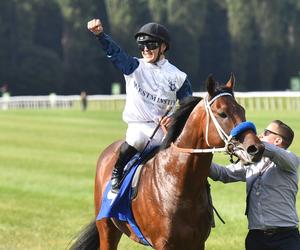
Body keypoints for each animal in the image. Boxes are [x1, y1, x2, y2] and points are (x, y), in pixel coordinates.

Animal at [70, 74, 264, 250]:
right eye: (222, 113)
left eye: (242, 110)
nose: (255, 148)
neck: (180, 185)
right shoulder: (164, 243)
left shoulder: (197, 242)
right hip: (107, 227)